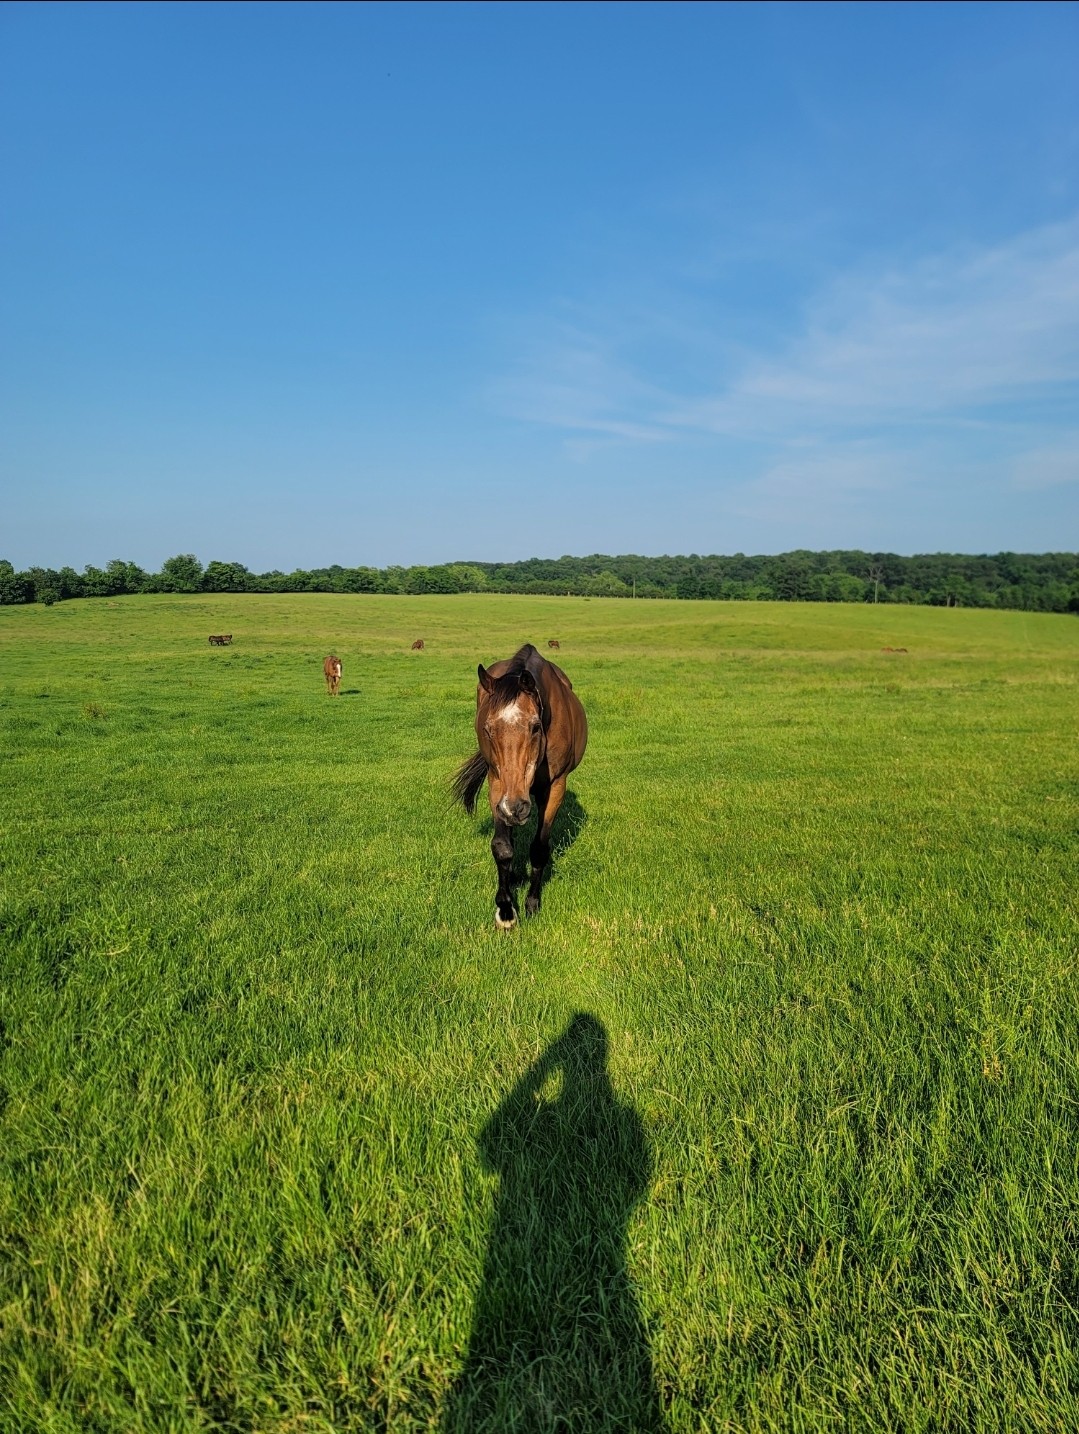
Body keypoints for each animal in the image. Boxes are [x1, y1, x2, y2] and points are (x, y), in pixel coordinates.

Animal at [453, 643, 587, 928]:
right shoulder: (497, 784)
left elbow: (539, 848)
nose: (515, 807)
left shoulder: (556, 787)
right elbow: (502, 848)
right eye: (488, 729)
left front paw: (532, 904)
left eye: (535, 727)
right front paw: (505, 911)